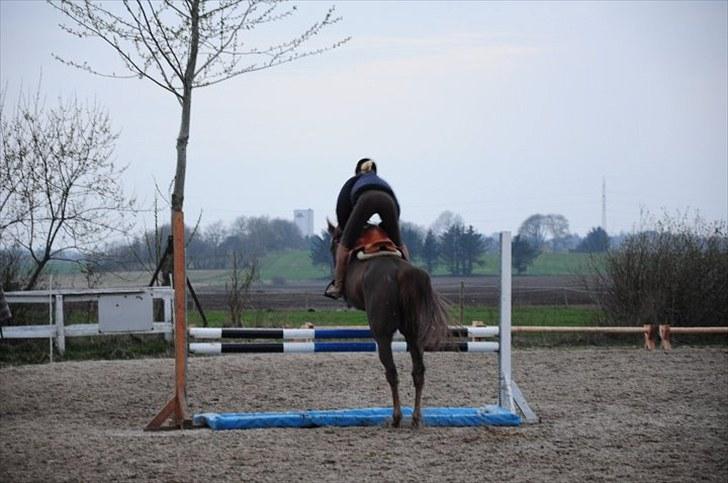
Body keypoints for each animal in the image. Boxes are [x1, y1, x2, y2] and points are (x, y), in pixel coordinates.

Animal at [326, 221, 450, 430]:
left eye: (333, 242)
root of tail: (402, 272)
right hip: (414, 335)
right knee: (418, 372)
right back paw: (415, 418)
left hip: (382, 336)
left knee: (391, 372)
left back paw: (396, 417)